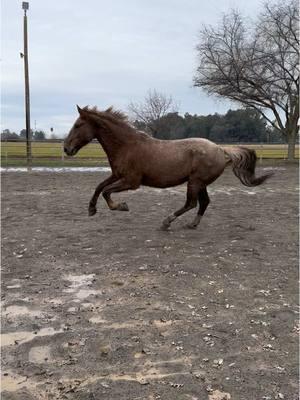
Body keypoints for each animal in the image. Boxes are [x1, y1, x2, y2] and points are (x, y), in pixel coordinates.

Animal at [64, 104, 274, 230]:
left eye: (78, 125)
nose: (66, 148)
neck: (127, 145)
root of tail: (220, 149)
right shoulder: (117, 174)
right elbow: (99, 187)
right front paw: (91, 209)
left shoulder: (131, 182)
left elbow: (106, 191)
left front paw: (121, 206)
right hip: (200, 183)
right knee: (204, 202)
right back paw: (192, 224)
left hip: (195, 182)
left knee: (192, 203)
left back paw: (167, 221)